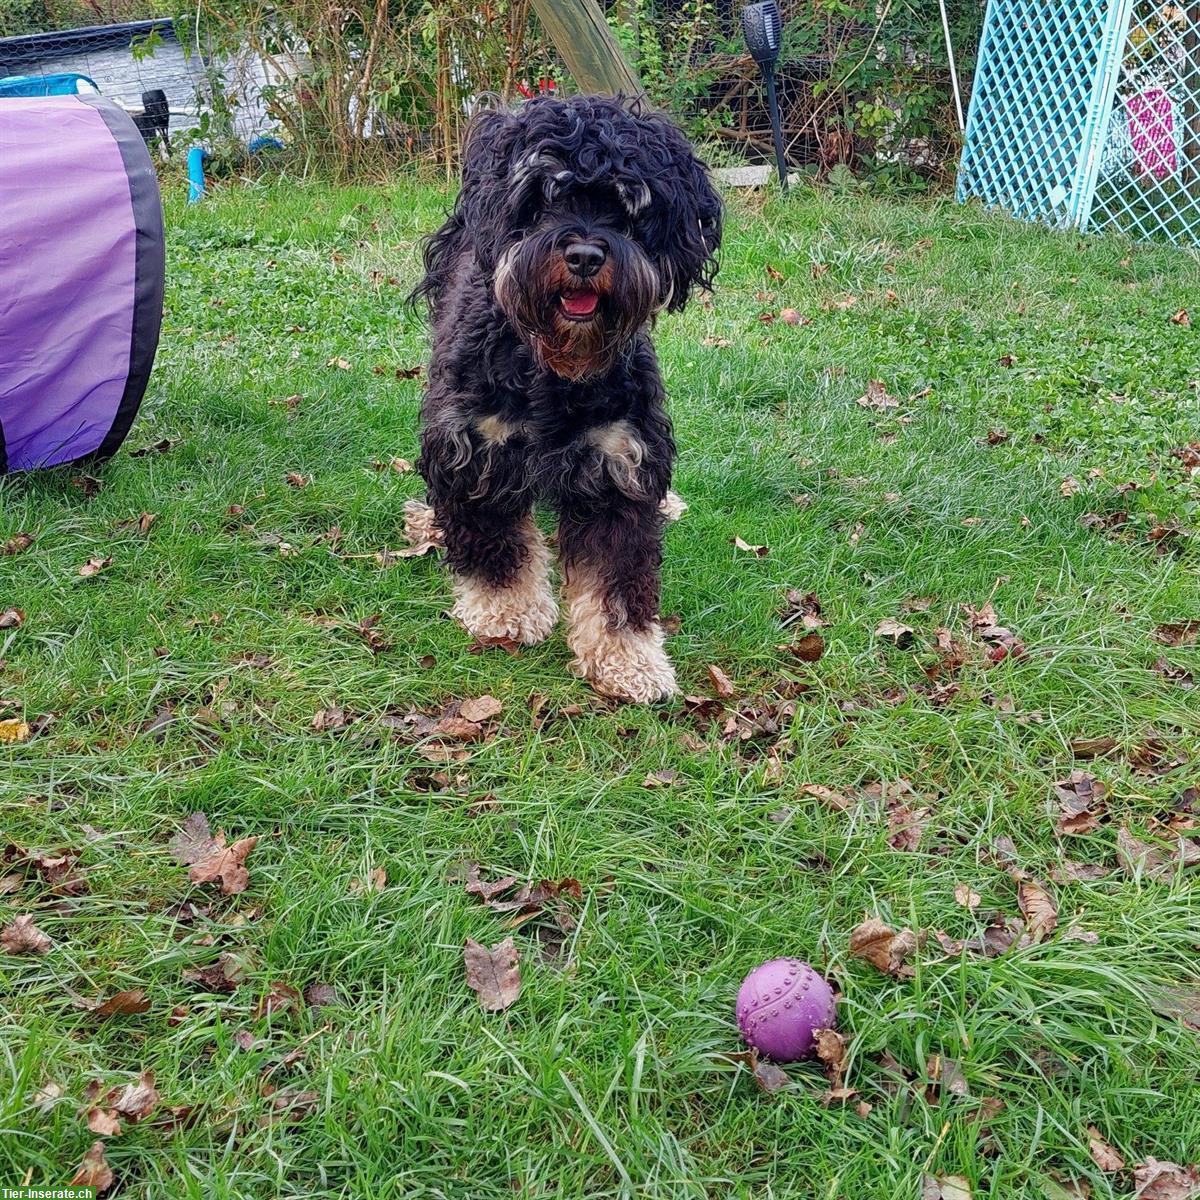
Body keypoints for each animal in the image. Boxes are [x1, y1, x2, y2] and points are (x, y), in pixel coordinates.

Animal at [412, 96, 715, 700]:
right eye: (544, 197)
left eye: (627, 205)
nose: (583, 256)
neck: (553, 368)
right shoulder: (476, 449)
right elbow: (495, 543)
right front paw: (506, 610)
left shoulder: (618, 463)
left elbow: (616, 579)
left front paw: (629, 659)